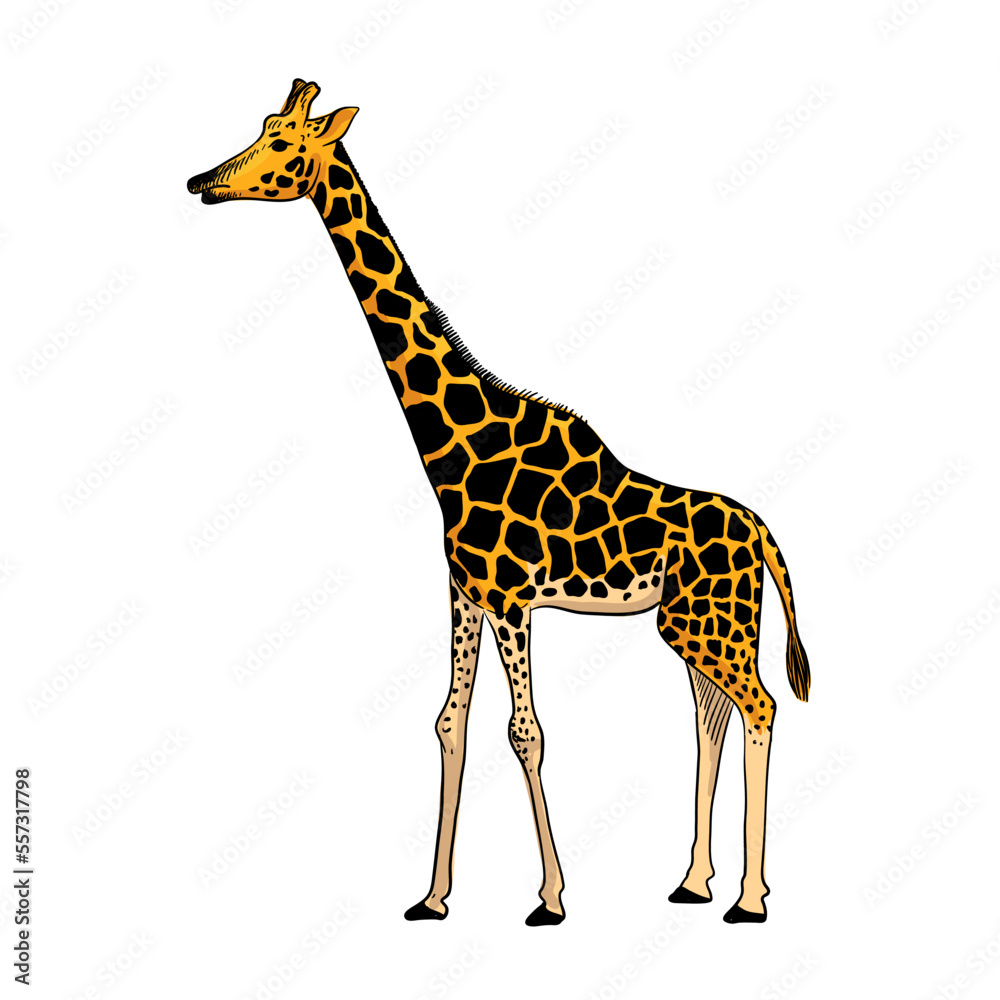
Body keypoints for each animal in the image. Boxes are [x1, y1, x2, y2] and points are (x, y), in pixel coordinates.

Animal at [187, 79, 811, 926]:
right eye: (258, 130)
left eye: (283, 145)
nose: (202, 181)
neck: (455, 447)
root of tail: (765, 534)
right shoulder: (465, 592)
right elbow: (449, 722)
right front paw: (432, 897)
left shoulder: (514, 599)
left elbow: (525, 732)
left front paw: (549, 898)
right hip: (697, 624)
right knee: (712, 715)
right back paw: (693, 883)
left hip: (711, 624)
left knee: (762, 708)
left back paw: (748, 898)